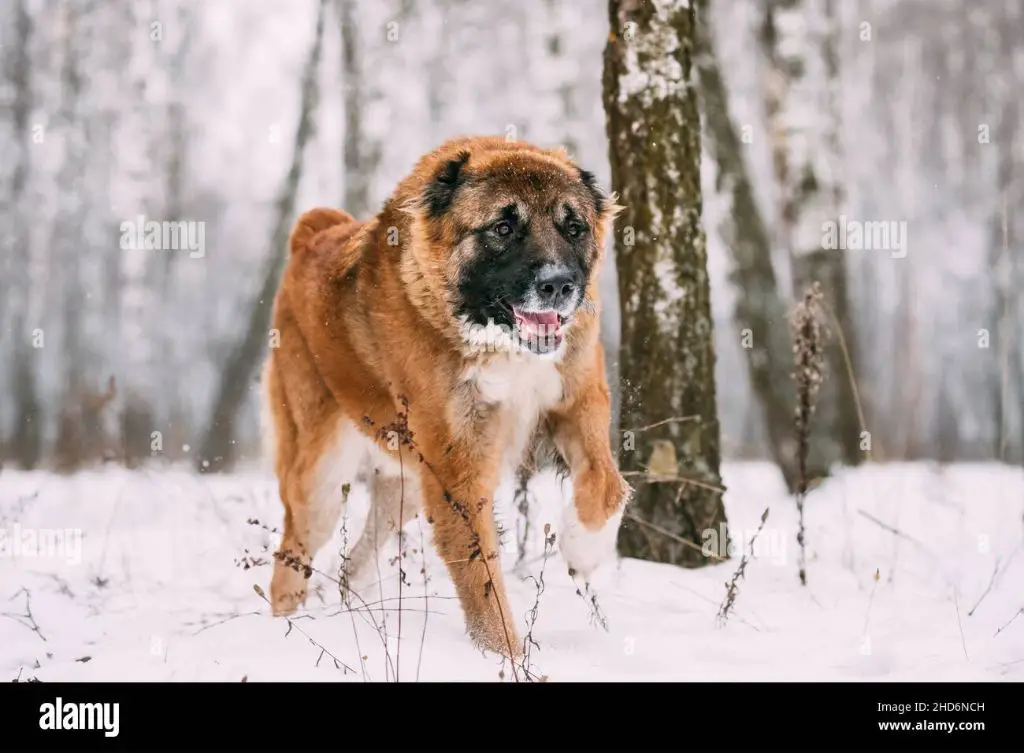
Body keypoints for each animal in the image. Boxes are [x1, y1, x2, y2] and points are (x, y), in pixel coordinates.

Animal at [262, 137, 630, 659]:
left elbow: (607, 485)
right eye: (502, 228)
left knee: (354, 564)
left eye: (573, 227)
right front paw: (507, 658)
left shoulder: (578, 403)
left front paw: (584, 550)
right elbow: (483, 581)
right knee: (290, 560)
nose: (559, 284)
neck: (494, 337)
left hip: (408, 485)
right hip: (320, 478)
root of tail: (313, 233)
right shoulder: (458, 469)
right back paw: (286, 631)